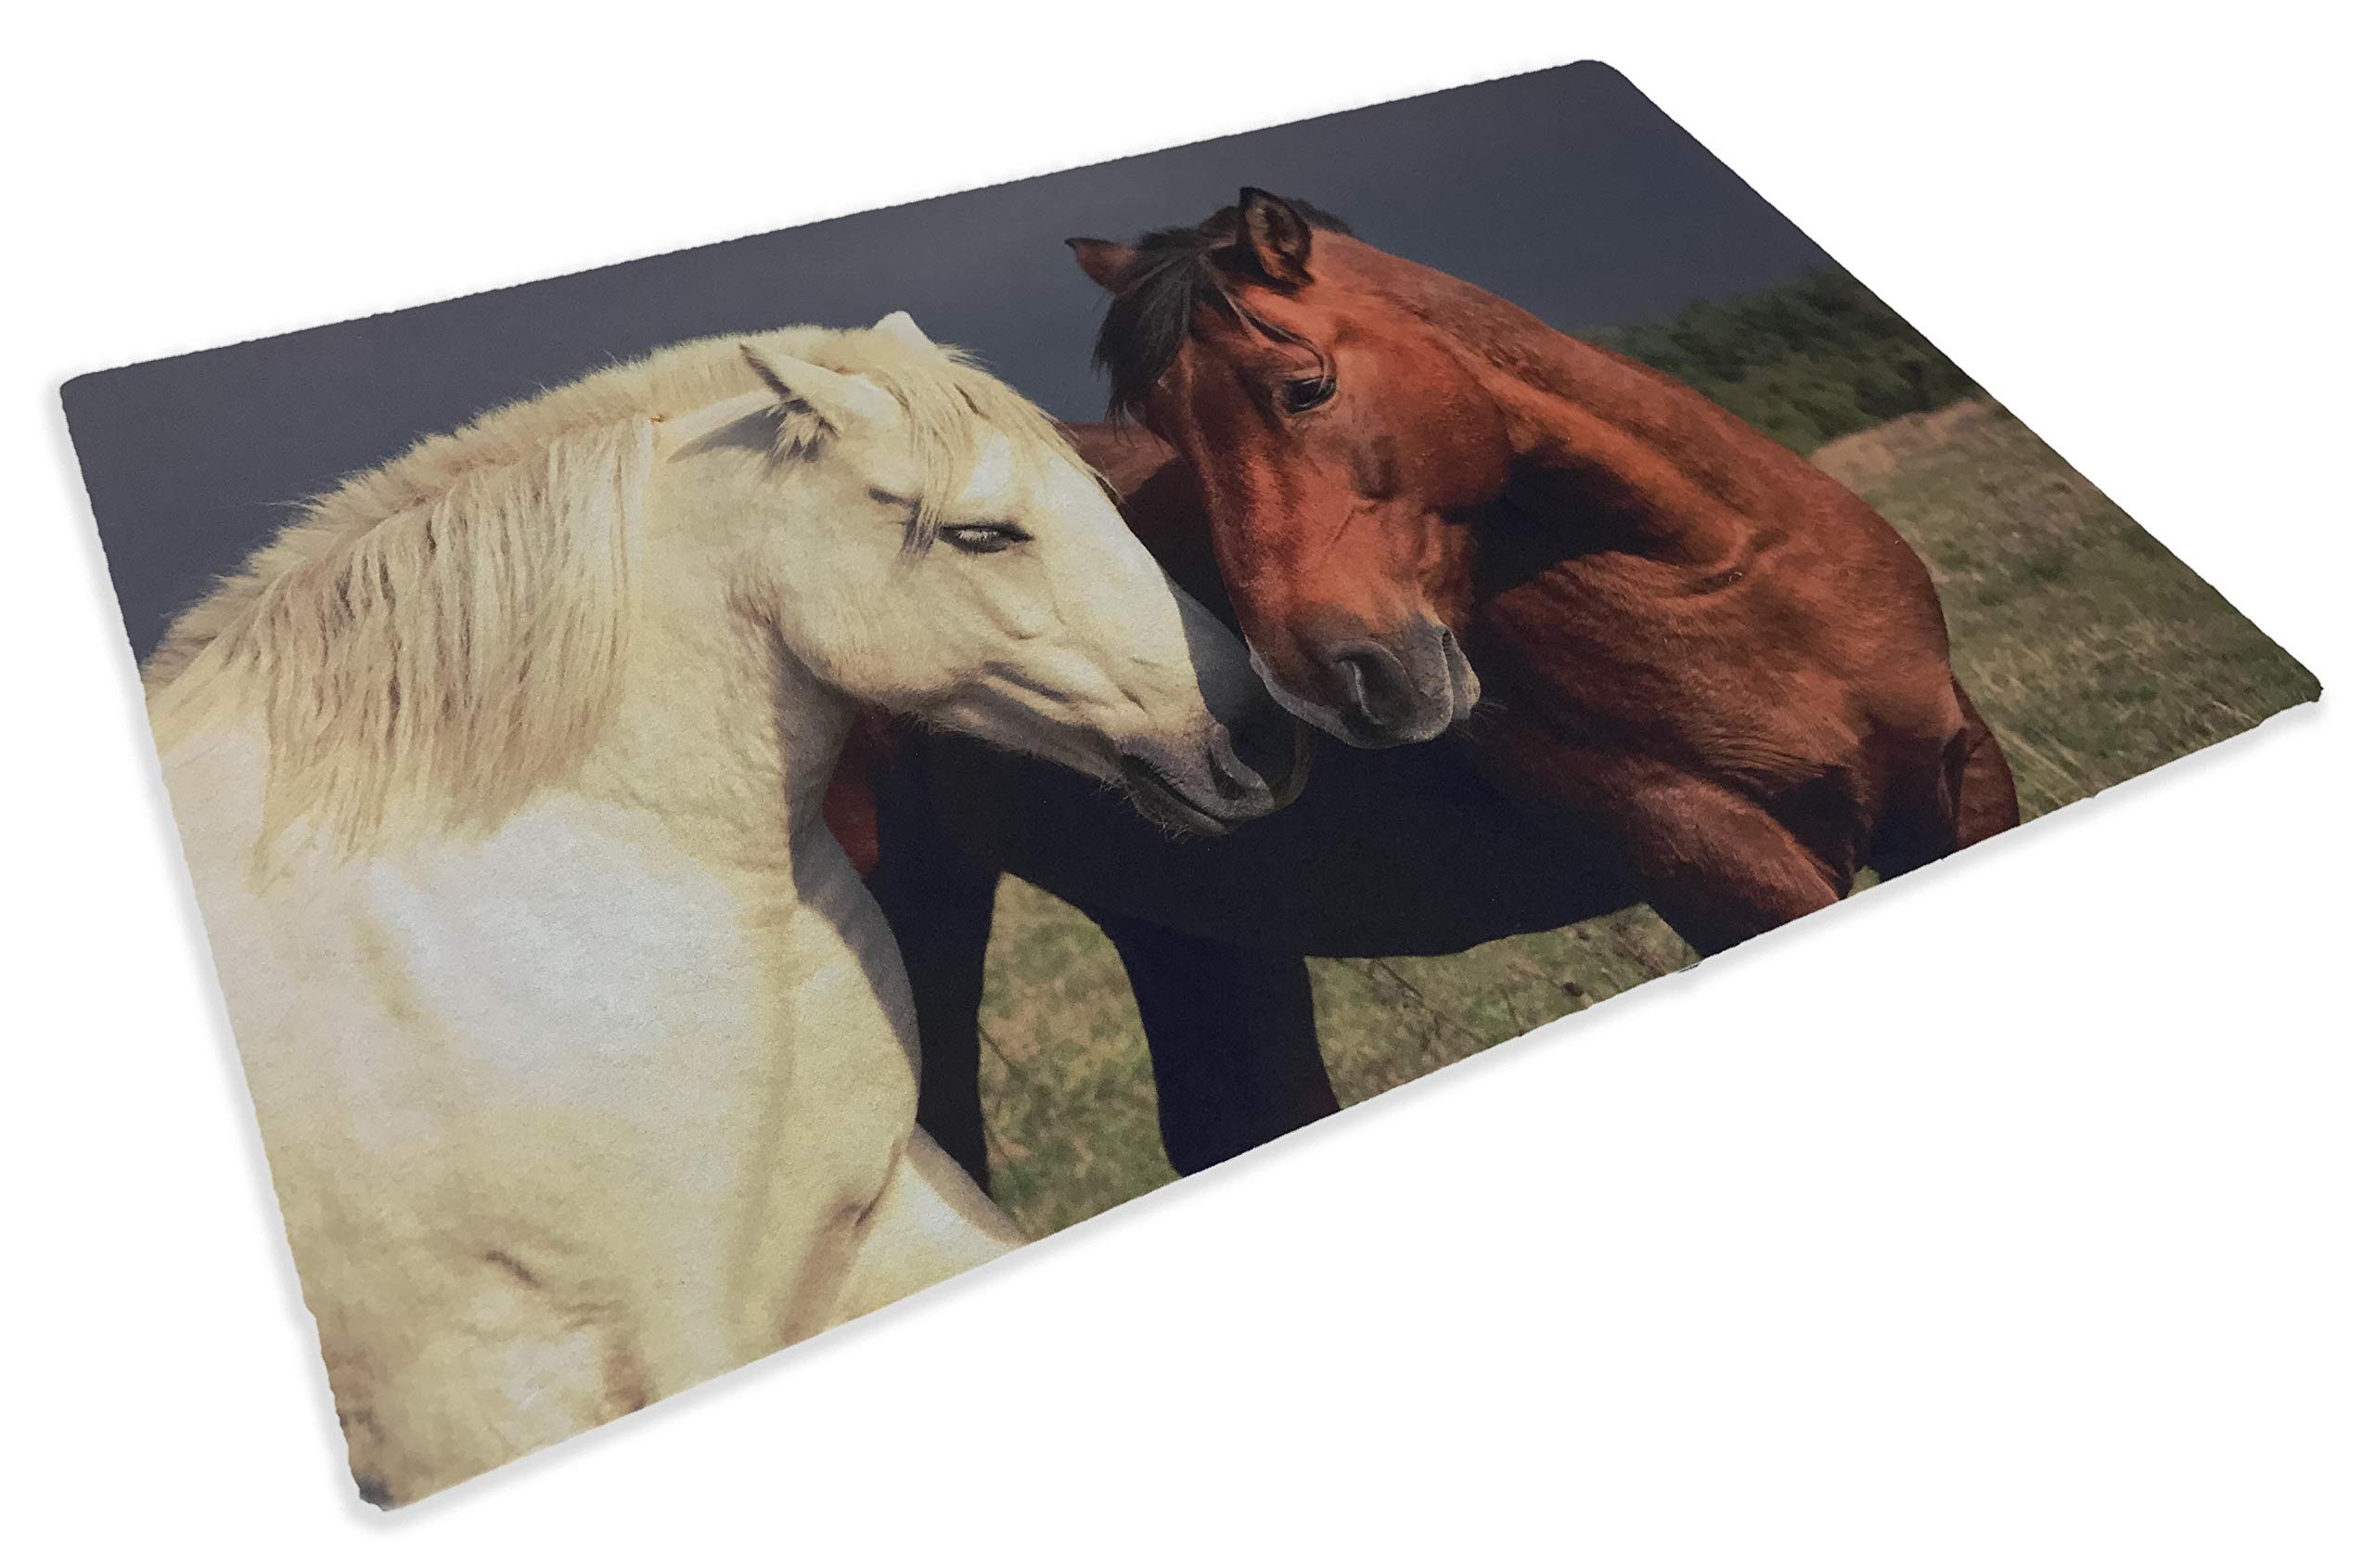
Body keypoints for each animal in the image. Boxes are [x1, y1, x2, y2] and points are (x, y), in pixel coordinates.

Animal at [861, 194, 2019, 1184]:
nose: (1323, 685)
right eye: (1169, 436)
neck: (1719, 572)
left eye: (1305, 386)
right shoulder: (1717, 861)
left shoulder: (1956, 782)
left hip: (1189, 925)